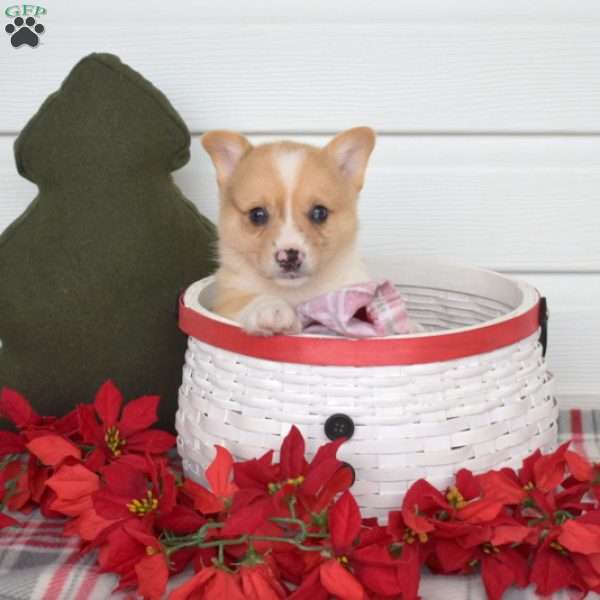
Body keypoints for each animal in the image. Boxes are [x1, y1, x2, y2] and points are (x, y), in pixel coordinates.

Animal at [202, 127, 376, 336]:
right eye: (257, 214)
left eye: (319, 212)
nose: (290, 256)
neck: (294, 292)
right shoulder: (227, 300)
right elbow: (248, 300)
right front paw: (271, 309)